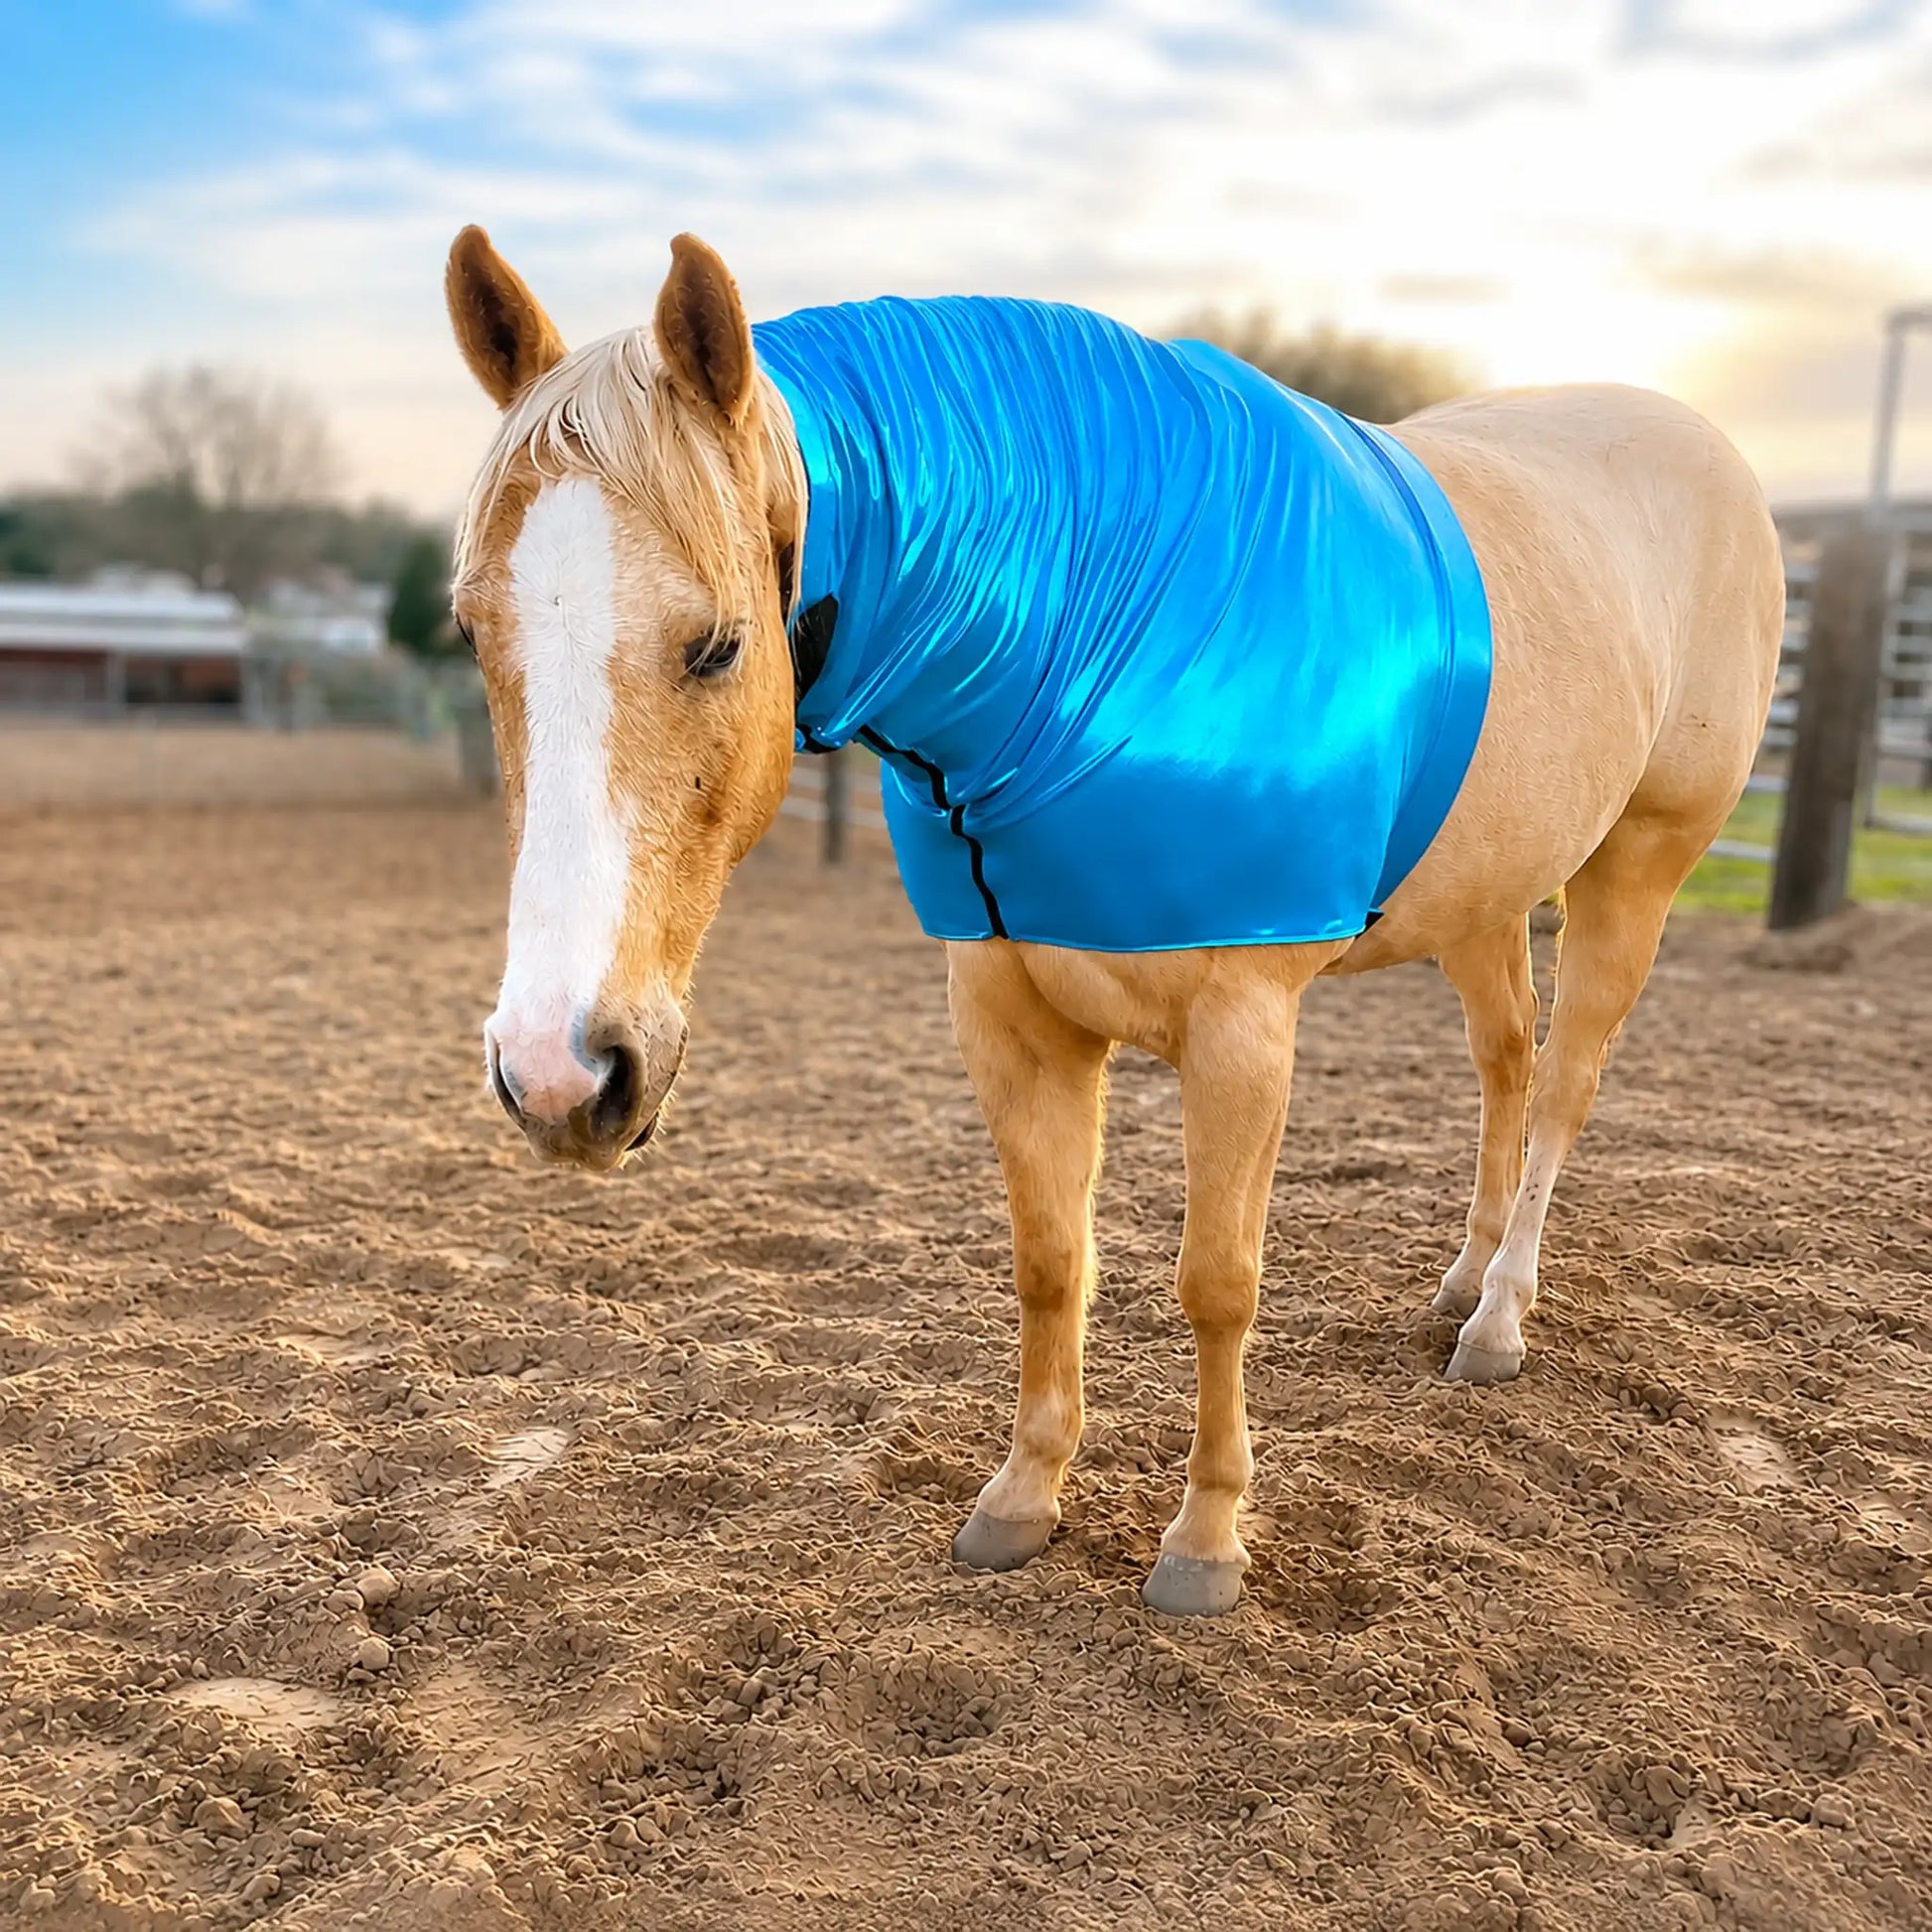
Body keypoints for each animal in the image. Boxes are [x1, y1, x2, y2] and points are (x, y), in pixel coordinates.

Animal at [443, 226, 1783, 1617]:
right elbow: (1050, 1259)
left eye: (715, 645)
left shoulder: (1242, 1032)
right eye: (472, 631)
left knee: (1565, 1083)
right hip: (1486, 897)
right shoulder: (1007, 1015)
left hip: (1636, 869)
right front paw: (1021, 1499)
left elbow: (1215, 1285)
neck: (1088, 629)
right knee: (1506, 1064)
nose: (559, 1073)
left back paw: (1500, 1318)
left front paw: (1203, 1542)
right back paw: (1462, 1282)